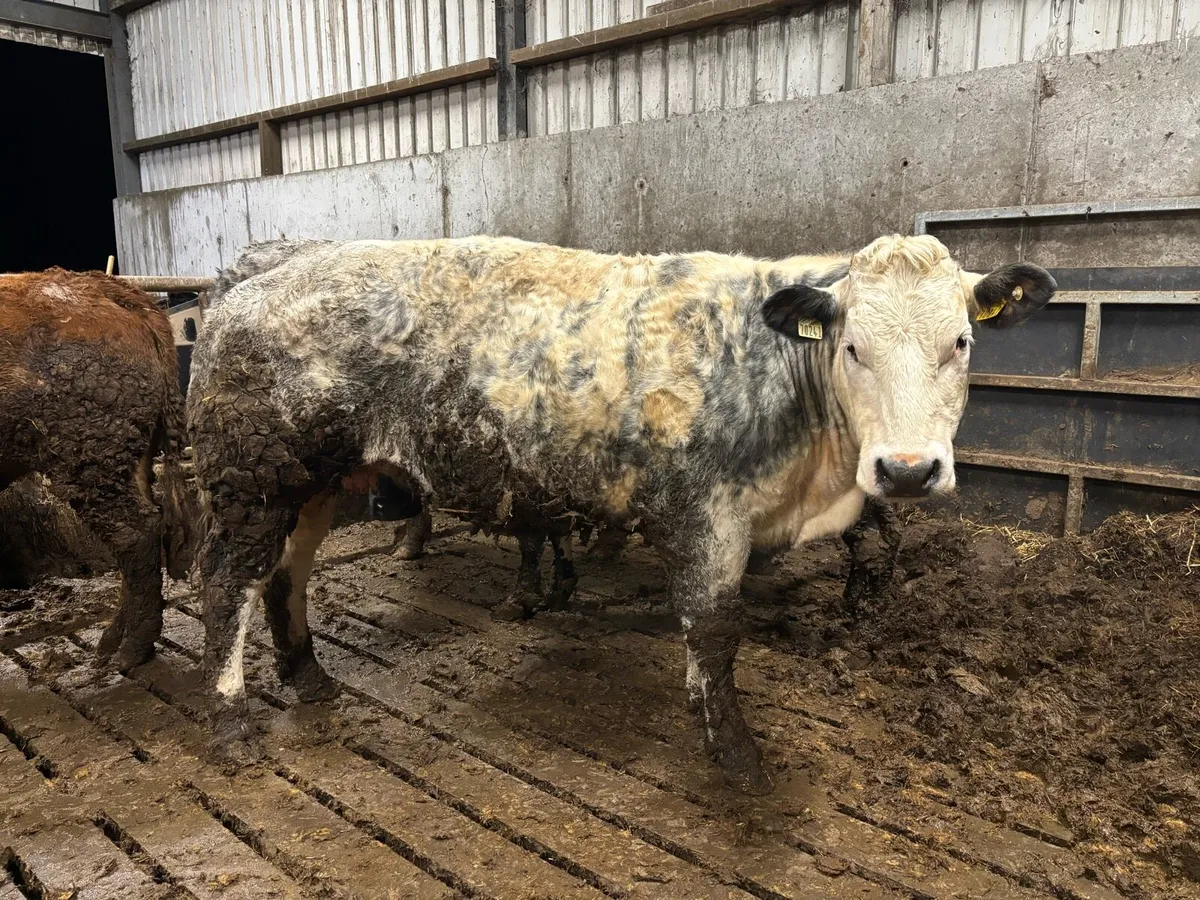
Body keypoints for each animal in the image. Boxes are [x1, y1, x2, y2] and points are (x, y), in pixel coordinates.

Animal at [0, 269, 197, 670]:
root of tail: (103, 285)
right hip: (126, 457)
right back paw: (114, 639)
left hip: (88, 457)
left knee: (134, 535)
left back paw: (131, 650)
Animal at [187, 235, 1054, 792]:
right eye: (852, 348)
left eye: (961, 341)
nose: (907, 469)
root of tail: (255, 274)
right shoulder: (709, 515)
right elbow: (715, 630)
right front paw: (735, 751)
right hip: (253, 484)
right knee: (228, 585)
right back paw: (229, 719)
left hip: (314, 481)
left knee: (287, 575)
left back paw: (308, 675)